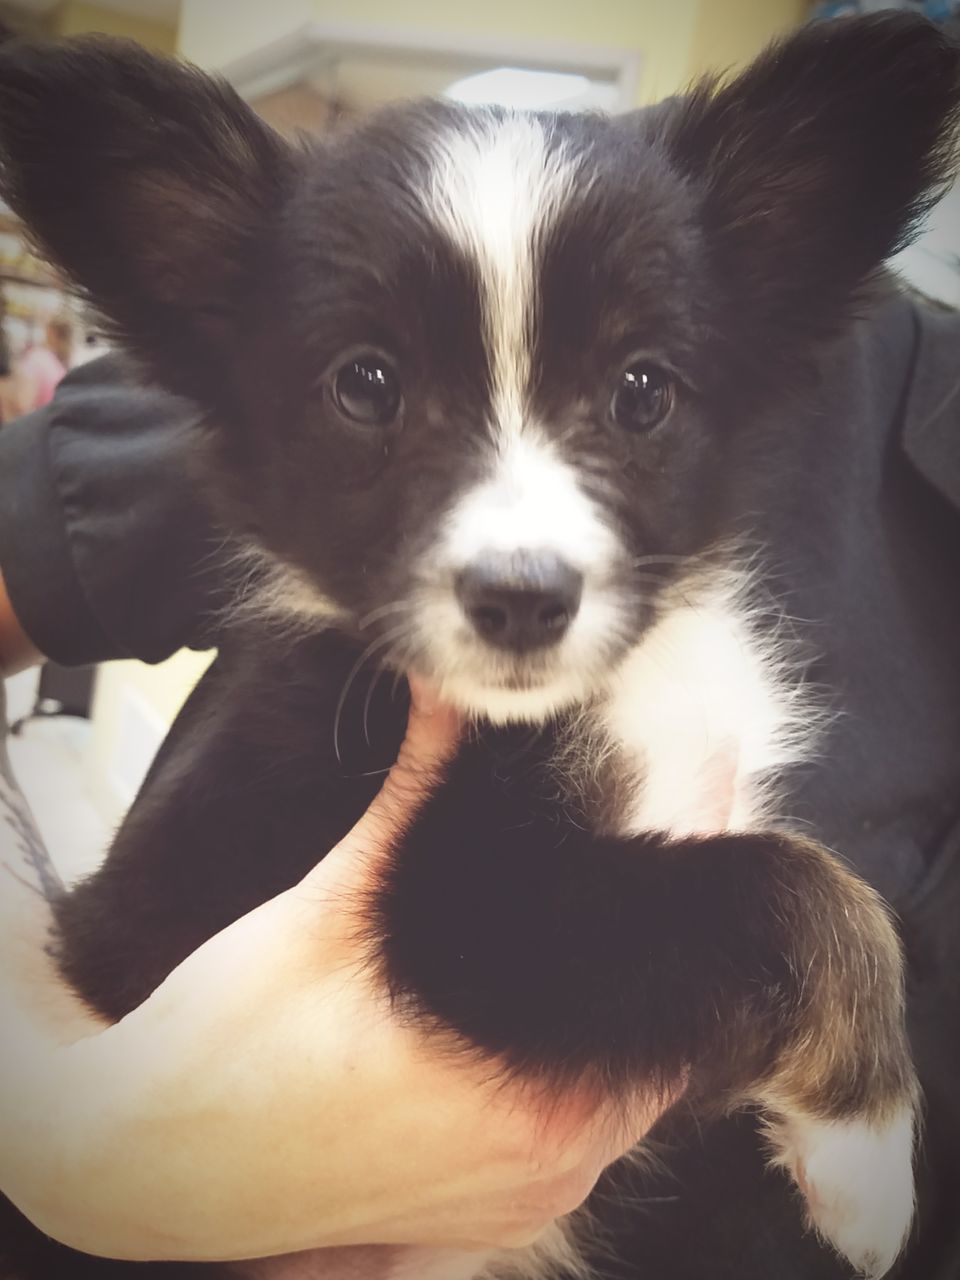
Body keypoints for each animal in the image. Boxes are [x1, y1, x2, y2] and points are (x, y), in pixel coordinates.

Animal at [0, 12, 957, 1280]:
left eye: (643, 389)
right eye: (366, 384)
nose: (521, 599)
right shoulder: (469, 911)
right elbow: (802, 887)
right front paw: (868, 1159)